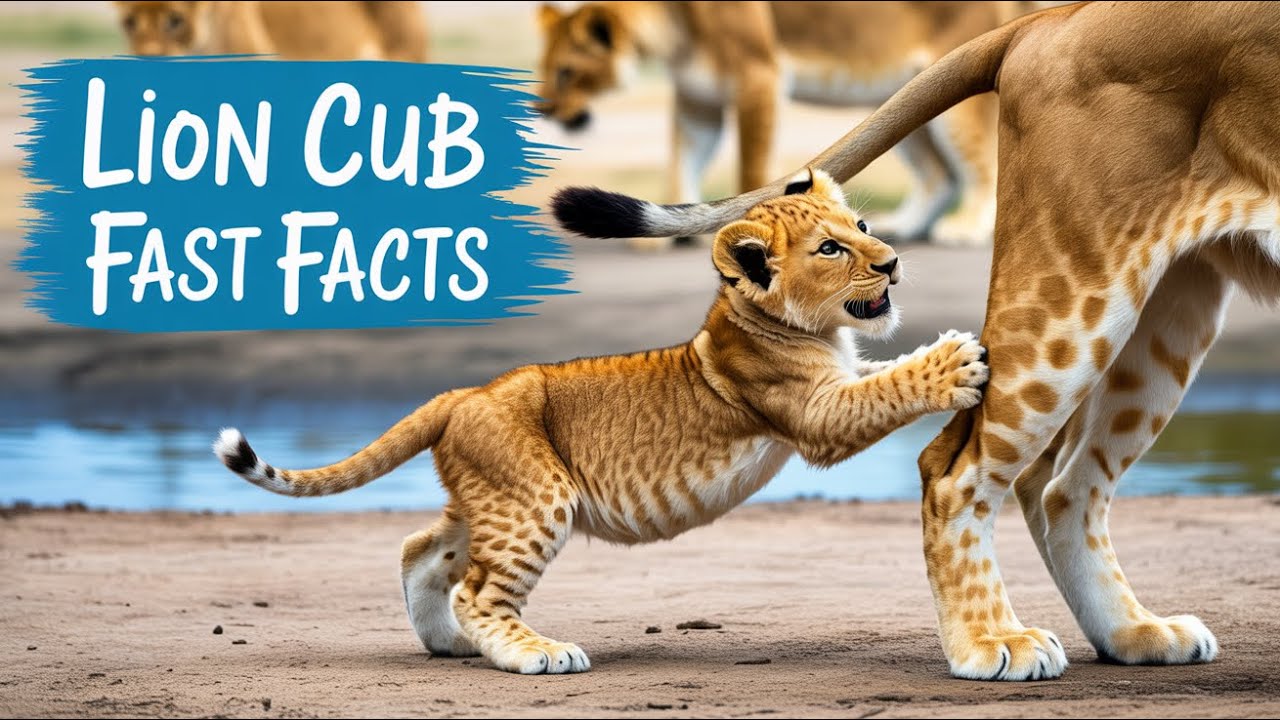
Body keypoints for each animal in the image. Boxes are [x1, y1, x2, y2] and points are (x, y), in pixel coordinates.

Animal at [214, 169, 989, 674]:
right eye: (831, 250)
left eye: (861, 227)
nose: (892, 262)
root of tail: (467, 392)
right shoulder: (814, 413)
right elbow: (884, 388)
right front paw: (956, 362)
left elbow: (879, 373)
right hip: (536, 497)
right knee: (479, 592)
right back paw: (536, 653)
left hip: (491, 498)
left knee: (422, 550)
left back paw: (450, 644)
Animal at [535, 1, 1037, 248]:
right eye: (546, 66)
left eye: (565, 71)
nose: (543, 110)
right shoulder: (697, 101)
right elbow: (682, 161)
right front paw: (663, 241)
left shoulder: (759, 74)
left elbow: (750, 163)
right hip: (905, 92)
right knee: (937, 174)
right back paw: (905, 226)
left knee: (980, 164)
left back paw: (966, 229)